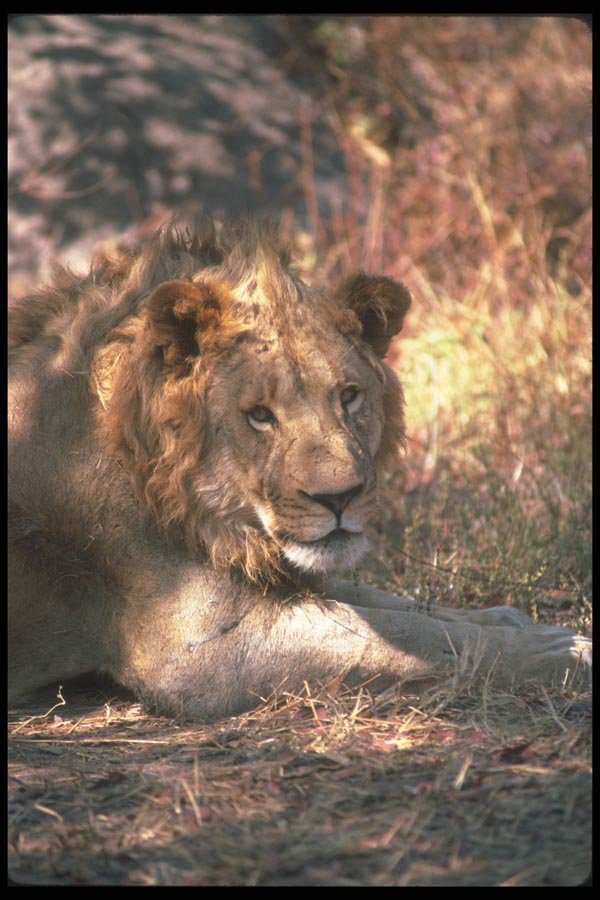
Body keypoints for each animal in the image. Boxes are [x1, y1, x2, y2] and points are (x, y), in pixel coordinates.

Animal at [8, 218, 590, 720]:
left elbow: (397, 605)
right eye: (259, 415)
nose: (340, 498)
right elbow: (417, 638)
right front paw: (568, 651)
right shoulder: (201, 649)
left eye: (349, 396)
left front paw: (516, 619)